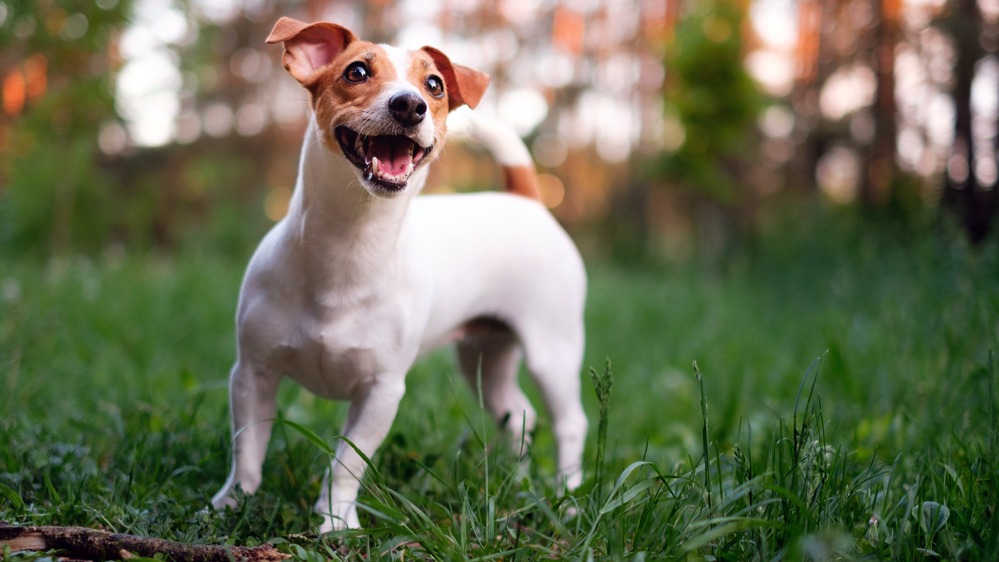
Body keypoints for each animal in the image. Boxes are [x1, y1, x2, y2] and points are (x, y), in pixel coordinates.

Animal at [209, 17, 584, 528]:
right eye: (357, 71)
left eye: (435, 84)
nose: (410, 104)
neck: (349, 244)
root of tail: (525, 198)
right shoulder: (253, 374)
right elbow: (247, 446)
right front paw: (233, 503)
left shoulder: (382, 392)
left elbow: (346, 462)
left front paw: (336, 522)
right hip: (484, 355)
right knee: (517, 413)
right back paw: (517, 479)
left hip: (553, 352)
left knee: (570, 423)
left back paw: (567, 495)